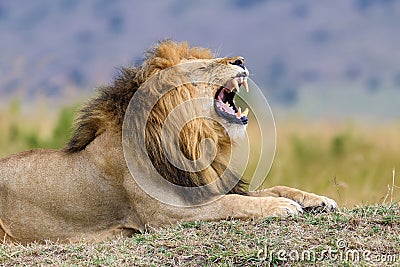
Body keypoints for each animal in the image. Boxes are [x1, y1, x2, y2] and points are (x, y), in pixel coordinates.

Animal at [0, 40, 338, 244]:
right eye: (203, 67)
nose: (241, 59)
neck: (193, 141)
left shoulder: (206, 186)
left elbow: (271, 188)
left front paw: (316, 199)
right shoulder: (166, 214)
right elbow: (233, 202)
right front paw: (282, 207)